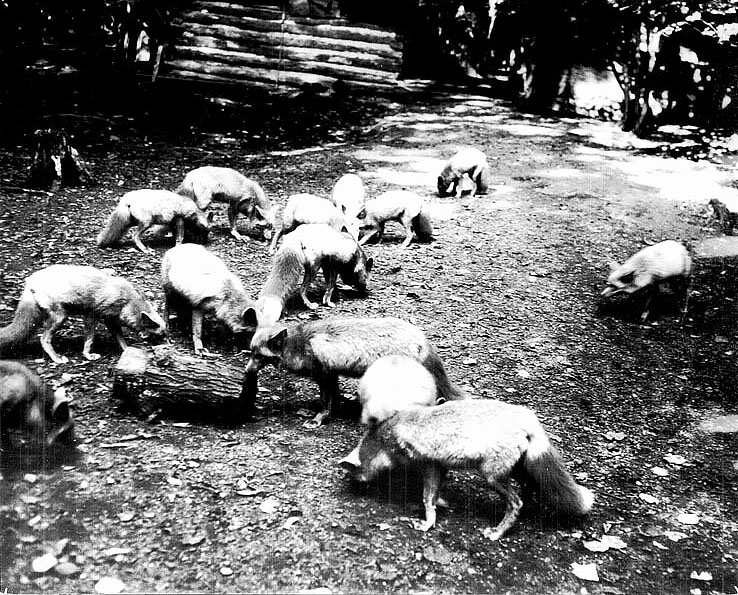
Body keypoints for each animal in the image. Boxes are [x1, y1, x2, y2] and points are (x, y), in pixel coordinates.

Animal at [0, 264, 164, 364]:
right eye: (161, 335)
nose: (167, 346)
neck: (126, 301)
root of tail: (31, 281)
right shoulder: (92, 315)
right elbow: (89, 339)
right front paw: (88, 355)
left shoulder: (109, 320)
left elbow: (120, 339)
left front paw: (128, 350)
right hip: (60, 317)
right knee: (43, 338)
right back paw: (56, 358)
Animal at [240, 316, 466, 428]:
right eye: (250, 353)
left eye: (258, 356)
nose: (247, 370)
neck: (300, 344)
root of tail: (423, 340)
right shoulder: (331, 376)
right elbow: (334, 400)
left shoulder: (324, 375)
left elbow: (326, 402)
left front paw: (319, 420)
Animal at [340, 398, 592, 544]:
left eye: (353, 478)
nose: (355, 489)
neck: (386, 437)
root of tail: (525, 416)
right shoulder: (439, 466)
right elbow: (434, 496)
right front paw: (440, 506)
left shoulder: (427, 464)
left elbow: (426, 498)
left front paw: (427, 523)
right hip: (516, 470)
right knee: (528, 489)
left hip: (492, 476)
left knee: (516, 503)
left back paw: (498, 532)